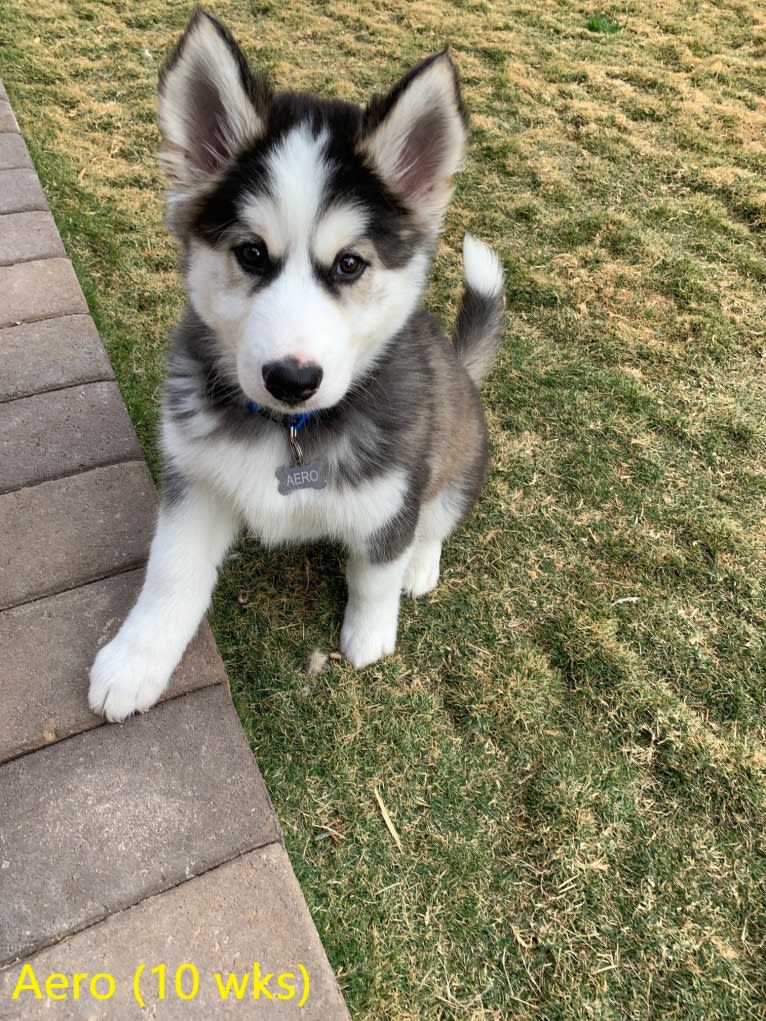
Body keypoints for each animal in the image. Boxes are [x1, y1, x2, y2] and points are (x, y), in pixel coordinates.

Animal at [88, 11, 504, 722]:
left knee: (436, 520)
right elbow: (170, 573)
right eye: (251, 253)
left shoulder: (393, 492)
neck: (291, 432)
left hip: (459, 452)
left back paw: (423, 565)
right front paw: (134, 663)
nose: (292, 379)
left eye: (350, 264)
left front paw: (369, 637)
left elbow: (376, 571)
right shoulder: (194, 479)